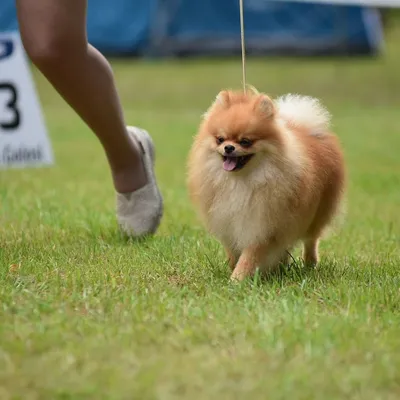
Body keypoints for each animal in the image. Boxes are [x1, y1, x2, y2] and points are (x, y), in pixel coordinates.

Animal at [188, 88, 346, 282]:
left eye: (245, 141)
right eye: (220, 139)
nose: (228, 147)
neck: (240, 181)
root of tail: (307, 127)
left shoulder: (263, 225)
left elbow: (250, 256)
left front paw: (237, 279)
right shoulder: (227, 222)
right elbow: (233, 252)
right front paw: (233, 269)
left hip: (315, 215)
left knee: (311, 240)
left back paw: (309, 264)